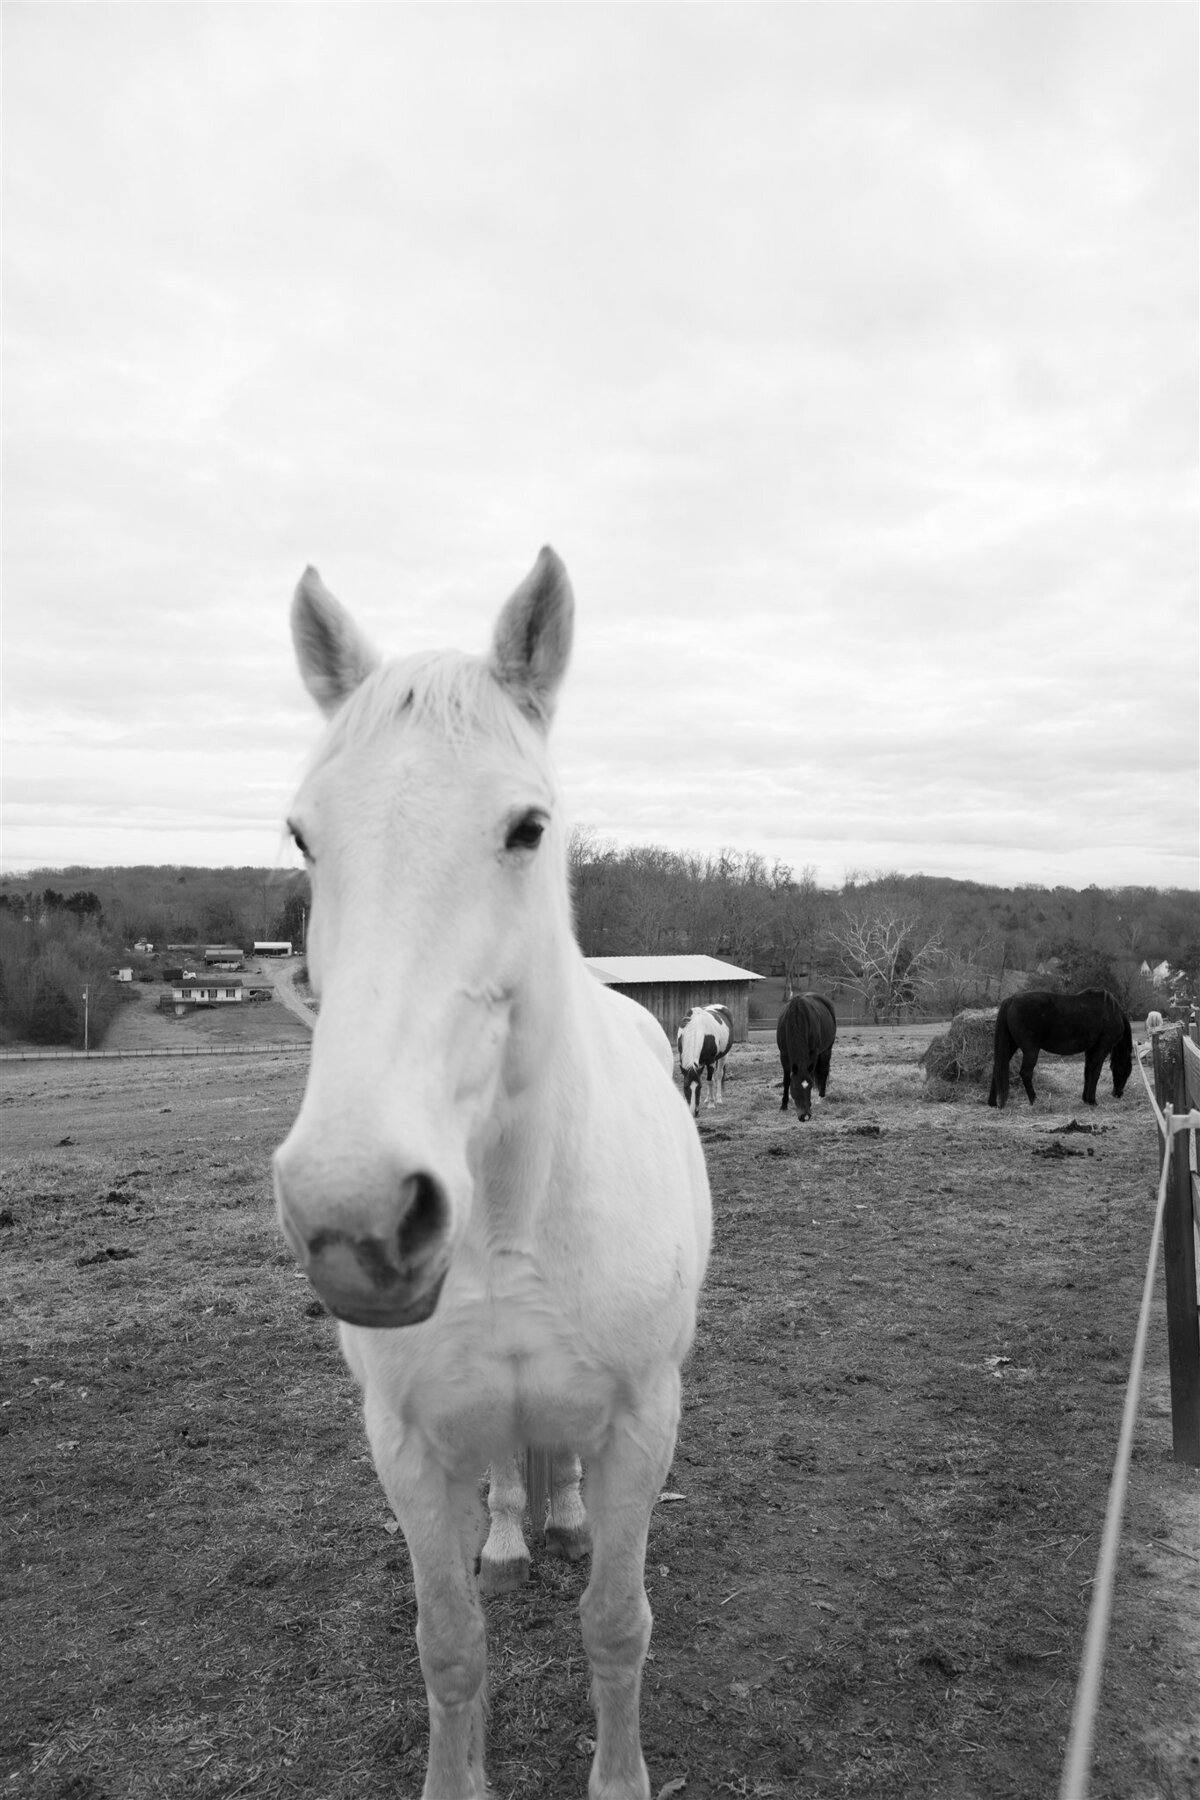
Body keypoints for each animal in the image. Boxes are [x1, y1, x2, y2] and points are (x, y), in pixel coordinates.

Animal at [271, 547, 712, 1800]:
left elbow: (616, 1624)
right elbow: (451, 1644)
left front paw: (619, 1779)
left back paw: (557, 1518)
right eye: (304, 837)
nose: (355, 1214)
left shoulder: (640, 1426)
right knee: (511, 1474)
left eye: (527, 827)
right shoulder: (411, 1449)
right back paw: (518, 1531)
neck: (512, 1205)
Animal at [985, 986, 1137, 1108]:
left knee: (998, 1066)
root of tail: (1012, 999)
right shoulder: (1101, 1049)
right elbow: (1095, 1072)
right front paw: (1092, 1101)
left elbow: (1087, 1071)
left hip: (1011, 1045)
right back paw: (1034, 1100)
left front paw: (1086, 1099)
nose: (1117, 1093)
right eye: (1127, 1071)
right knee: (1025, 1073)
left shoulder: (1090, 1050)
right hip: (1030, 1050)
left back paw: (992, 1102)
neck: (1112, 1012)